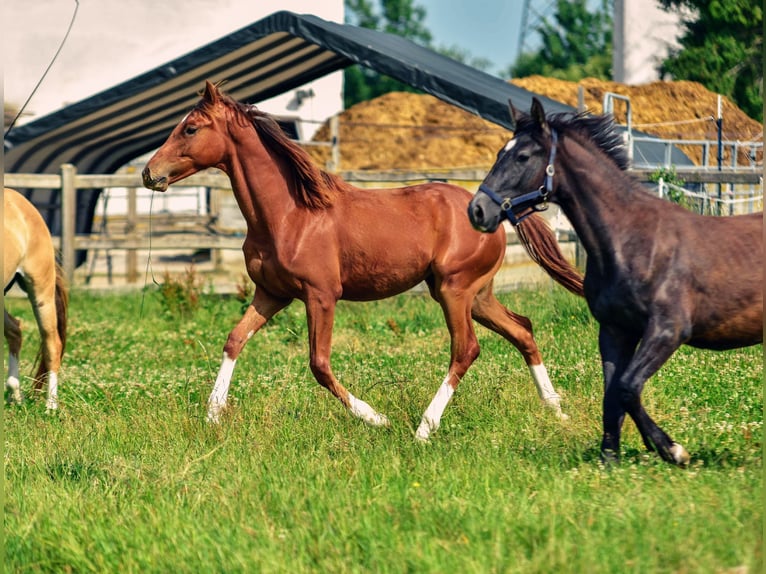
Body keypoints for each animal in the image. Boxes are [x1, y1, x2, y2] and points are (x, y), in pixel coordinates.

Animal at [142, 81, 584, 440]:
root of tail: (494, 210)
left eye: (190, 128)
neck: (290, 214)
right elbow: (234, 340)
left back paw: (424, 428)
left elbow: (319, 364)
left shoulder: (321, 295)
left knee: (467, 349)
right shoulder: (271, 293)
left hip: (454, 290)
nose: (149, 173)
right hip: (476, 294)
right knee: (523, 330)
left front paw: (376, 418)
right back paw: (556, 409)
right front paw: (213, 415)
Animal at [468, 98, 763, 464]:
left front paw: (673, 450)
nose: (477, 210)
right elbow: (612, 394)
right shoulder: (614, 330)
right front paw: (610, 457)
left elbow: (626, 387)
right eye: (499, 153)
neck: (631, 241)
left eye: (523, 156)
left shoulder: (667, 330)